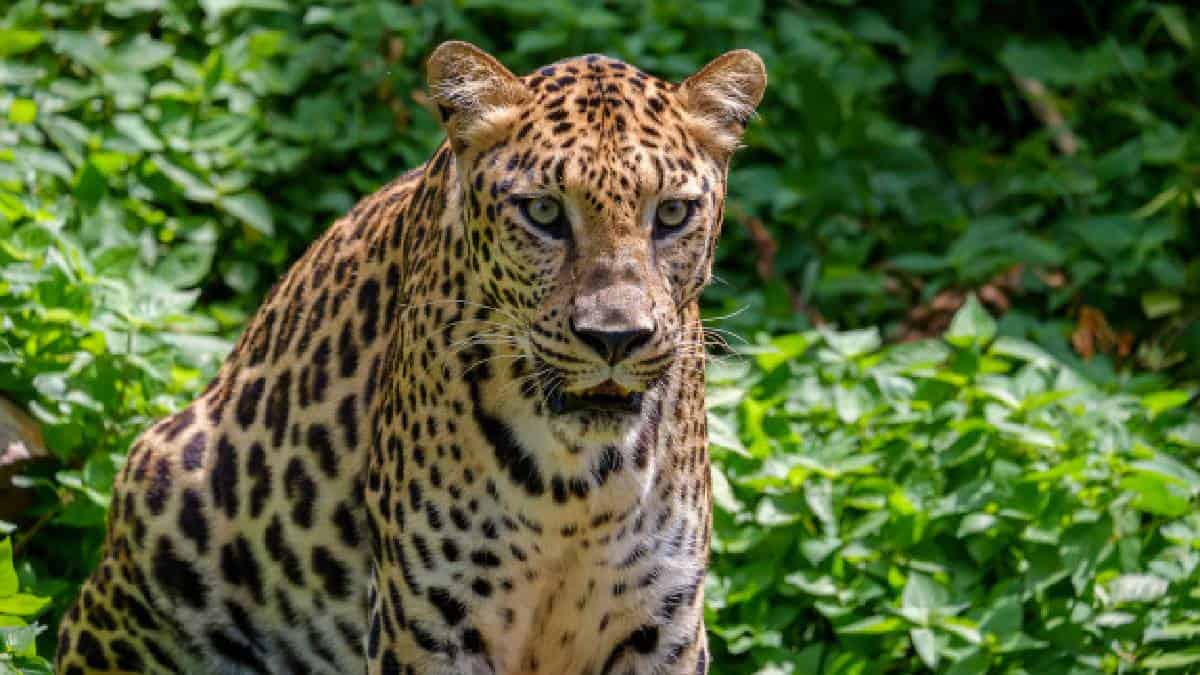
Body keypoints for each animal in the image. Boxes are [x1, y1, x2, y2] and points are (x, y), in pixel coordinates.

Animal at [54, 41, 766, 675]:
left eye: (671, 214)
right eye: (542, 211)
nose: (615, 338)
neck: (573, 491)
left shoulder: (663, 625)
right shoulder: (429, 624)